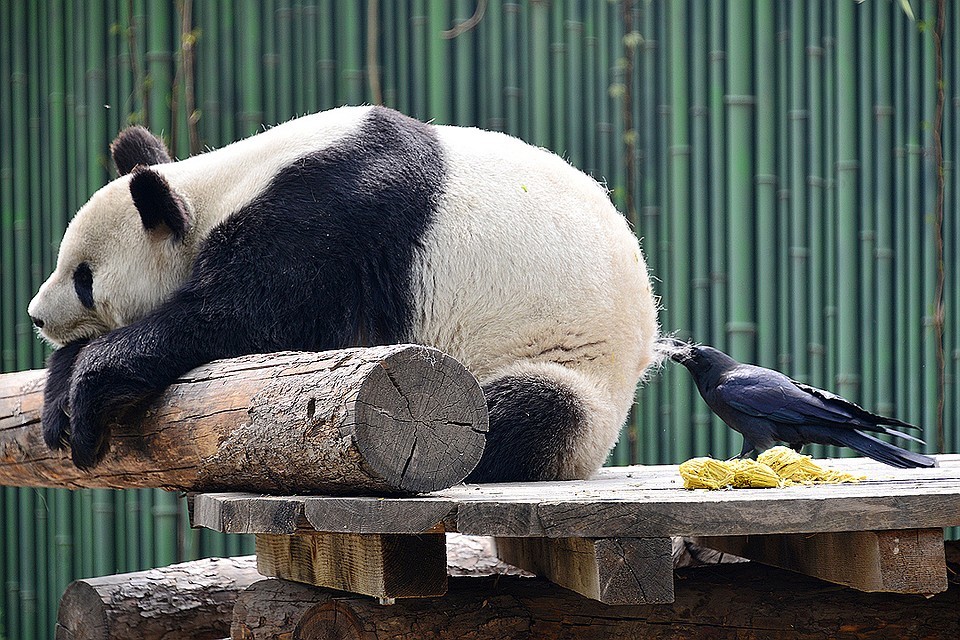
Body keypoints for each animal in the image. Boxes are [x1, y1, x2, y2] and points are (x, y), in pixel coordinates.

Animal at [28, 107, 660, 482]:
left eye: (83, 278)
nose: (36, 316)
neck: (217, 188)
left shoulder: (328, 222)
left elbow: (246, 321)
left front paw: (90, 385)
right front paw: (61, 390)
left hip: (568, 366)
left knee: (521, 411)